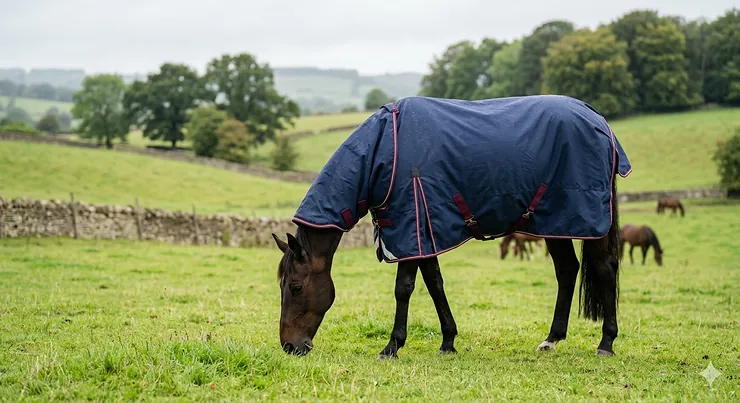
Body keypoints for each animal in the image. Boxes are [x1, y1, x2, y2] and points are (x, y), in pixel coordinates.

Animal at [271, 95, 632, 359]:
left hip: (587, 222)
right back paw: (552, 339)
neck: (384, 150)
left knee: (605, 267)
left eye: (296, 287)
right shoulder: (424, 231)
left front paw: (392, 346)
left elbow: (404, 288)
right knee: (567, 270)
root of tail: (598, 119)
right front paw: (448, 342)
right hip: (555, 223)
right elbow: (435, 283)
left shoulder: (410, 227)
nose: (289, 346)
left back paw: (606, 343)